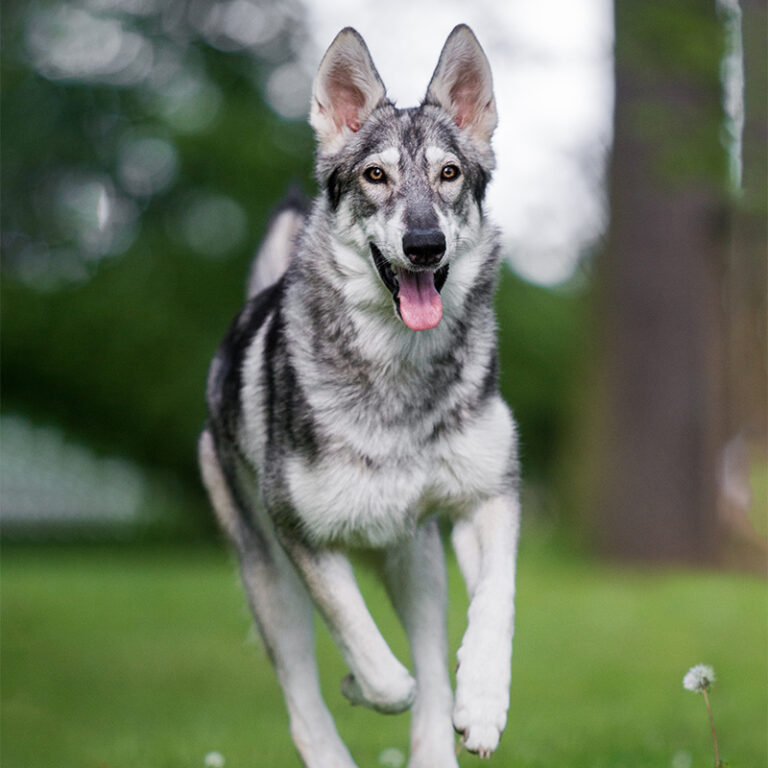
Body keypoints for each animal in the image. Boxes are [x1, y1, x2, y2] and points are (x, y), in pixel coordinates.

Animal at [198, 24, 520, 768]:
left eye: (449, 175)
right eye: (376, 176)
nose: (424, 244)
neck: (401, 377)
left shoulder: (489, 498)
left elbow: (494, 606)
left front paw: (483, 705)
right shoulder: (299, 534)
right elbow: (373, 660)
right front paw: (362, 683)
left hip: (418, 563)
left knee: (431, 667)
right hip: (272, 581)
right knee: (305, 703)